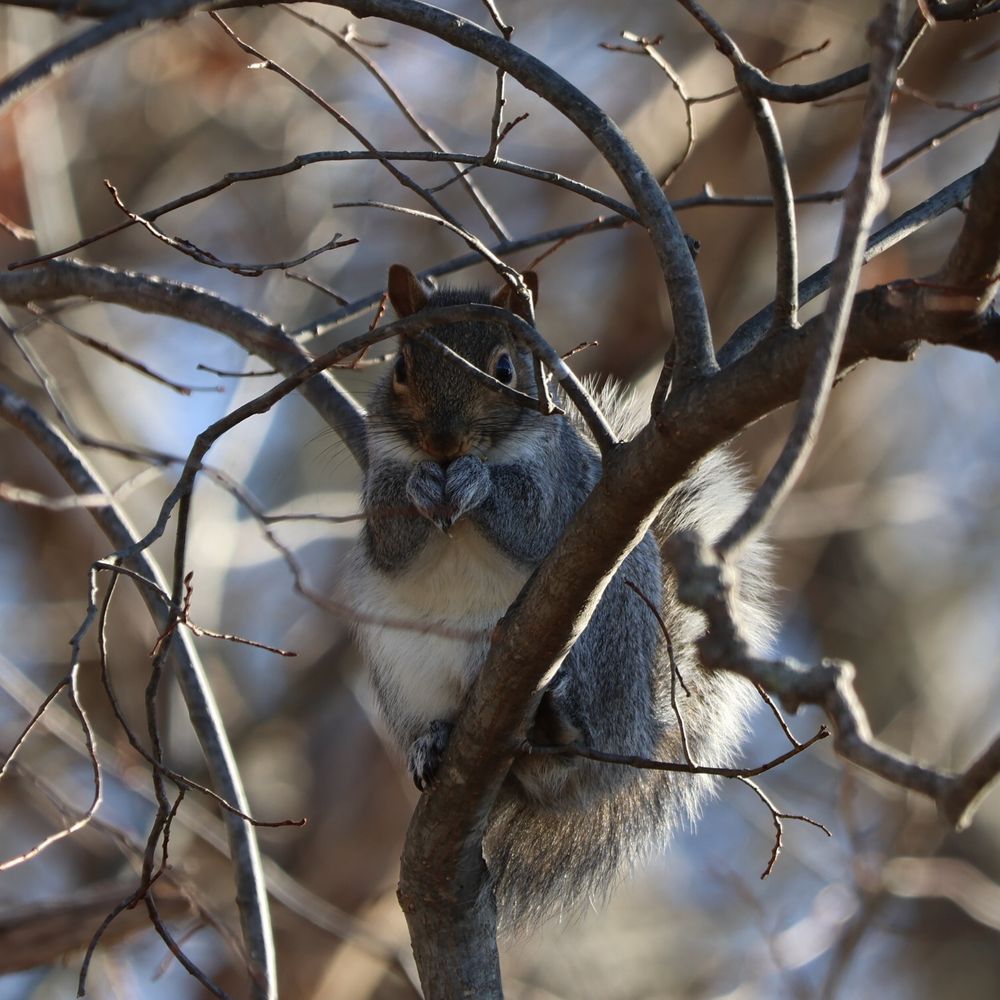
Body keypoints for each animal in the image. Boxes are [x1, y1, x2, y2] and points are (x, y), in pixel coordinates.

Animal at [348, 264, 774, 931]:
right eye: (401, 368)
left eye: (505, 368)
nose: (443, 443)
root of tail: (631, 743)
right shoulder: (380, 493)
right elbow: (391, 539)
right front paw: (421, 484)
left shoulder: (557, 488)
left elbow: (528, 517)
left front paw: (475, 480)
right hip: (405, 670)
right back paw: (435, 740)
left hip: (601, 644)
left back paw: (558, 721)